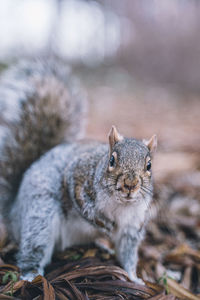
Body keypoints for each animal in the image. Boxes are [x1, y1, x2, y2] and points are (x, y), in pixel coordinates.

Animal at [0, 58, 157, 284]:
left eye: (149, 165)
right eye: (111, 160)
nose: (130, 184)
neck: (120, 206)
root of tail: (12, 212)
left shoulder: (131, 228)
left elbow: (127, 256)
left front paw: (133, 278)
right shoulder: (77, 175)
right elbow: (82, 203)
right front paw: (102, 223)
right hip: (40, 214)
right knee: (34, 247)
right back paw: (30, 275)